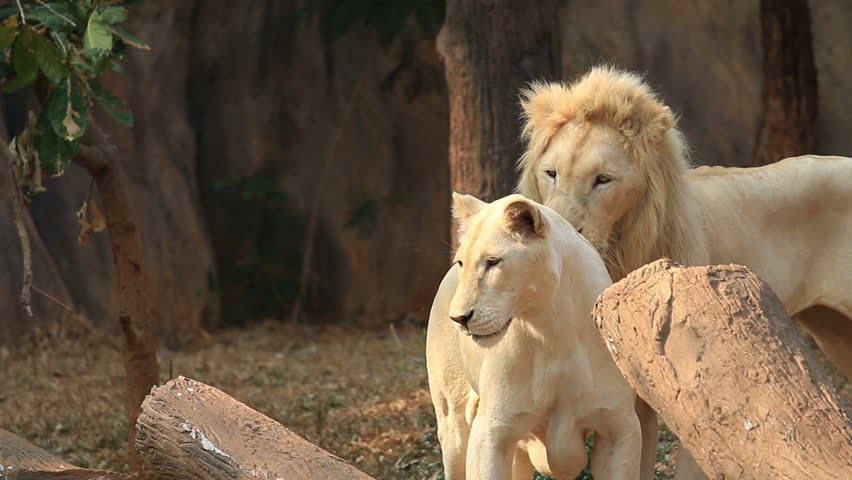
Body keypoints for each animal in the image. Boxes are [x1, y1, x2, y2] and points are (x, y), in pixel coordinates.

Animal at [427, 192, 640, 480]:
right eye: (461, 263)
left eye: (493, 262)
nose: (458, 318)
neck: (552, 331)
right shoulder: (492, 431)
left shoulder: (618, 427)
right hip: (454, 424)